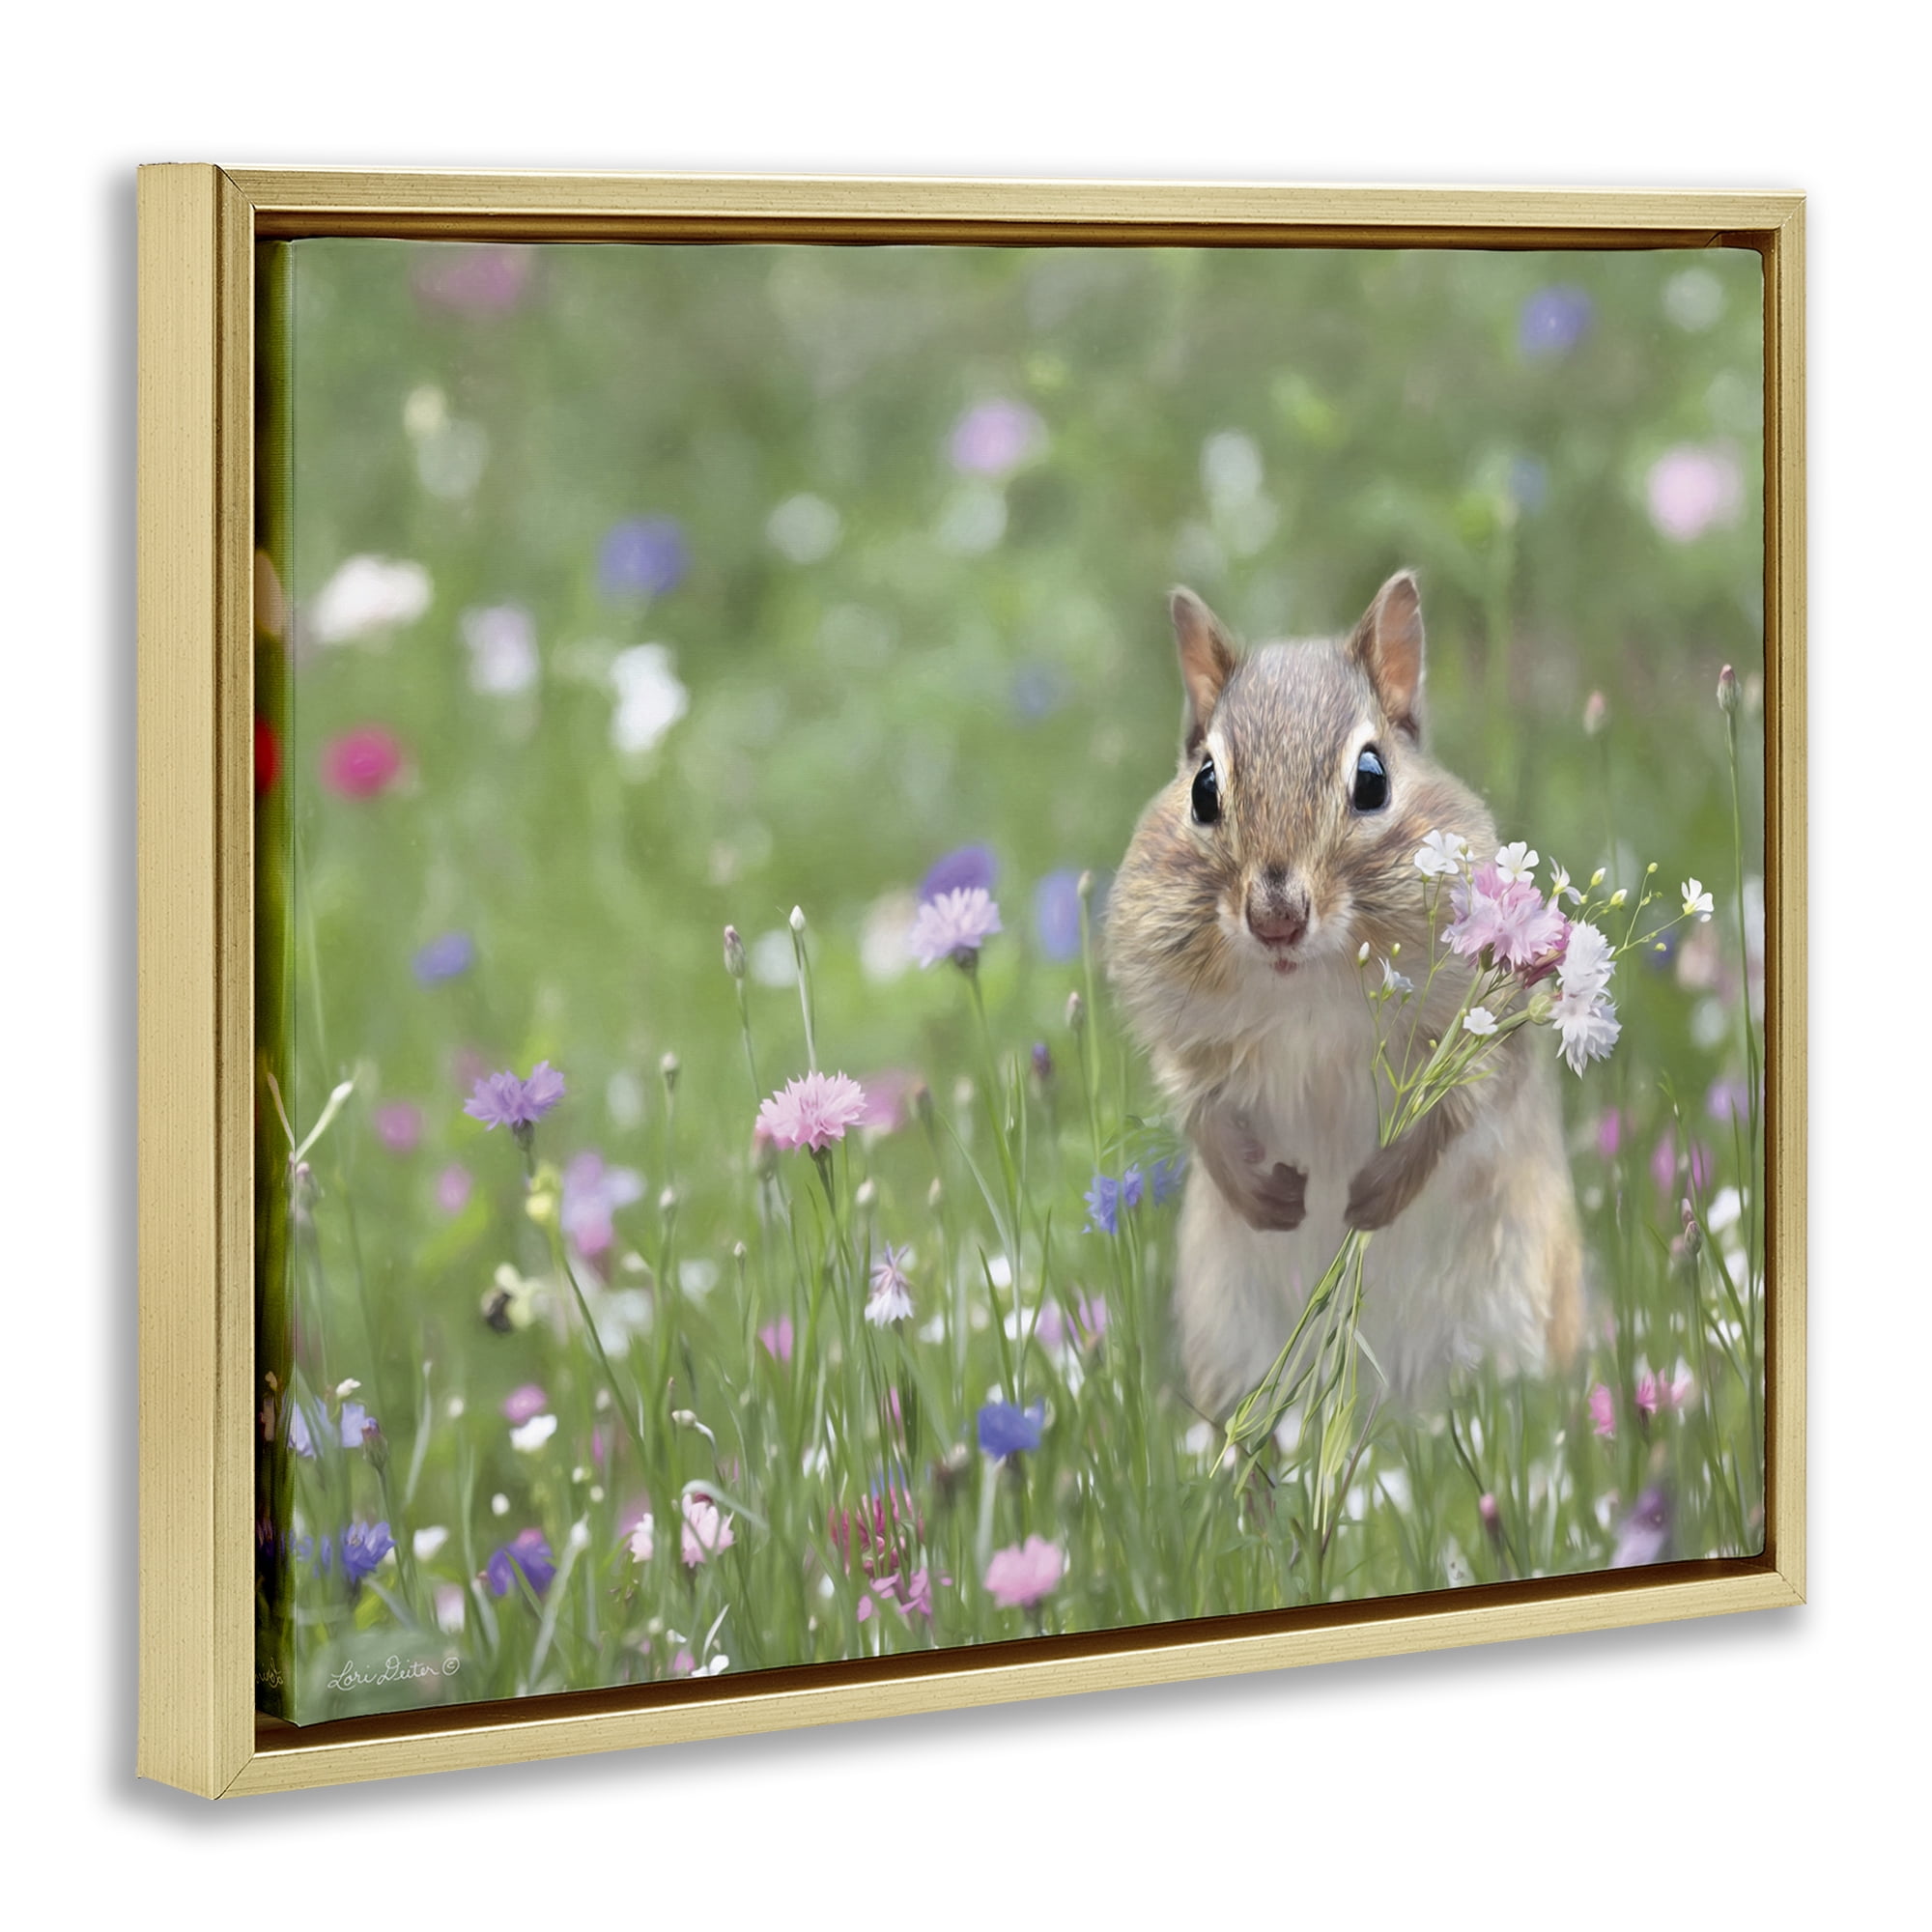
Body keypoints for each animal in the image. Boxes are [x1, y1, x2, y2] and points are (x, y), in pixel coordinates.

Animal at [1107, 571, 1583, 1422]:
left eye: (1372, 780)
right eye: (1203, 788)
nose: (1275, 918)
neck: (1306, 988)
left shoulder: (1481, 1027)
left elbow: (1460, 1108)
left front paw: (1374, 1196)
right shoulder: (1182, 1033)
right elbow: (1196, 1106)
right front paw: (1265, 1196)